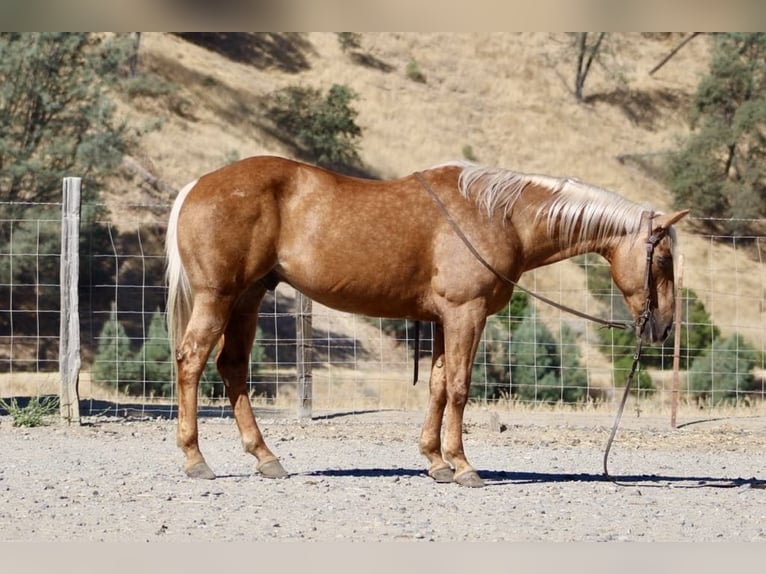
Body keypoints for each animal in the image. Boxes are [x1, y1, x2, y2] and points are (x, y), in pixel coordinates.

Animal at [164, 156, 688, 490]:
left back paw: (266, 458)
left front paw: (435, 462)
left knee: (232, 368)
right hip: (218, 298)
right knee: (191, 362)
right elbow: (459, 386)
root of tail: (197, 186)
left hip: (248, 299)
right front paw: (463, 465)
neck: (499, 216)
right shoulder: (465, 313)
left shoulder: (441, 320)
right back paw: (195, 459)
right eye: (663, 259)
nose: (662, 327)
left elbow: (437, 385)